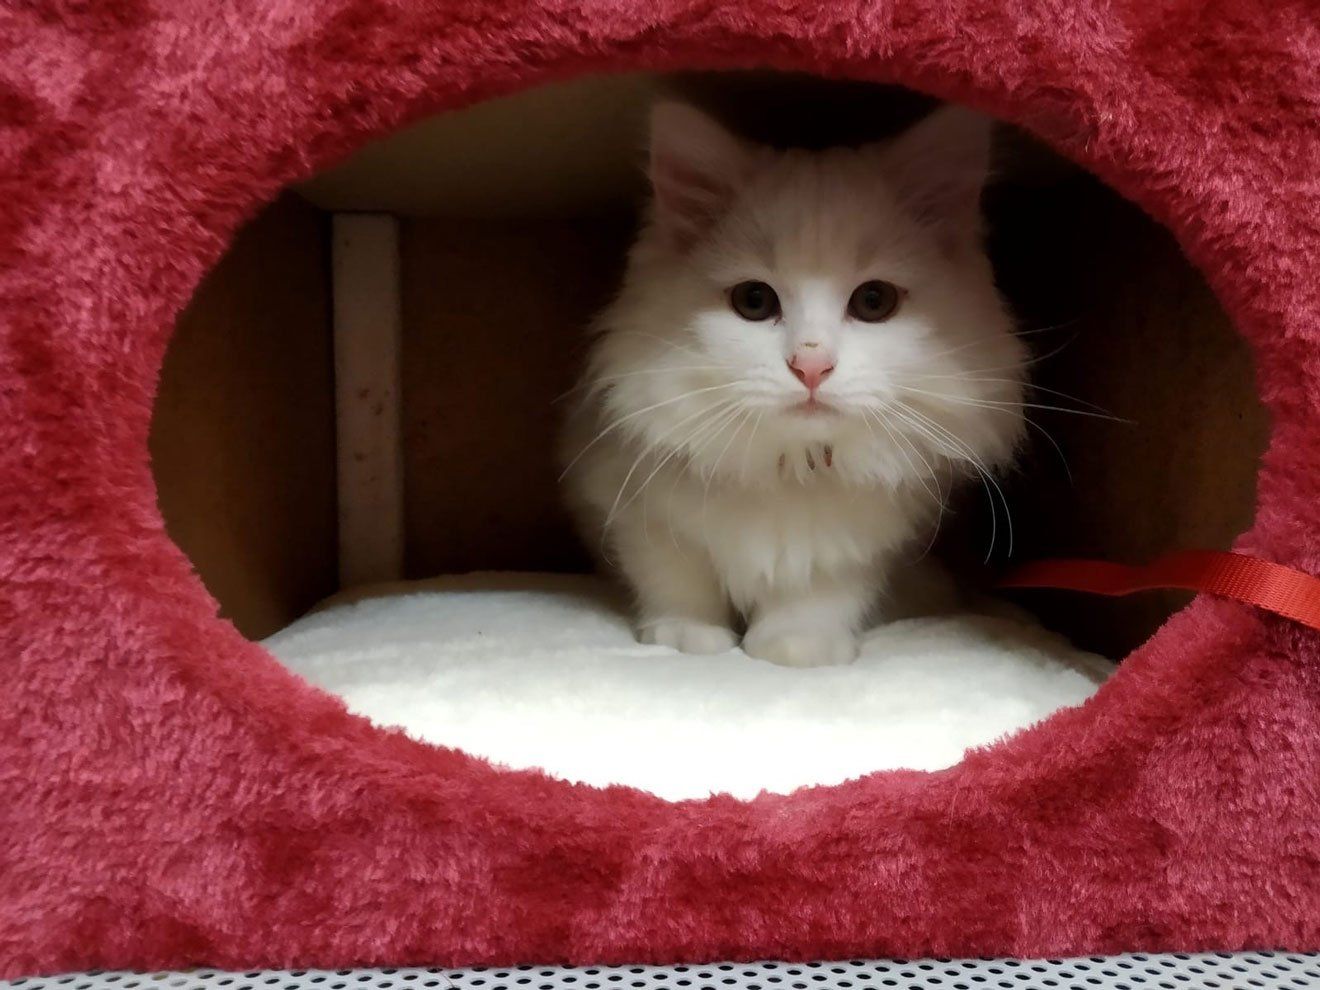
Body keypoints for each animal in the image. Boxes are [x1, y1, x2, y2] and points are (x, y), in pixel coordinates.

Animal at [558, 100, 1026, 668]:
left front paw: (796, 649)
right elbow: (676, 579)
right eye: (754, 301)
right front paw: (687, 637)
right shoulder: (633, 509)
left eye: (874, 301)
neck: (791, 468)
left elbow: (818, 597)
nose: (811, 366)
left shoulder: (856, 549)